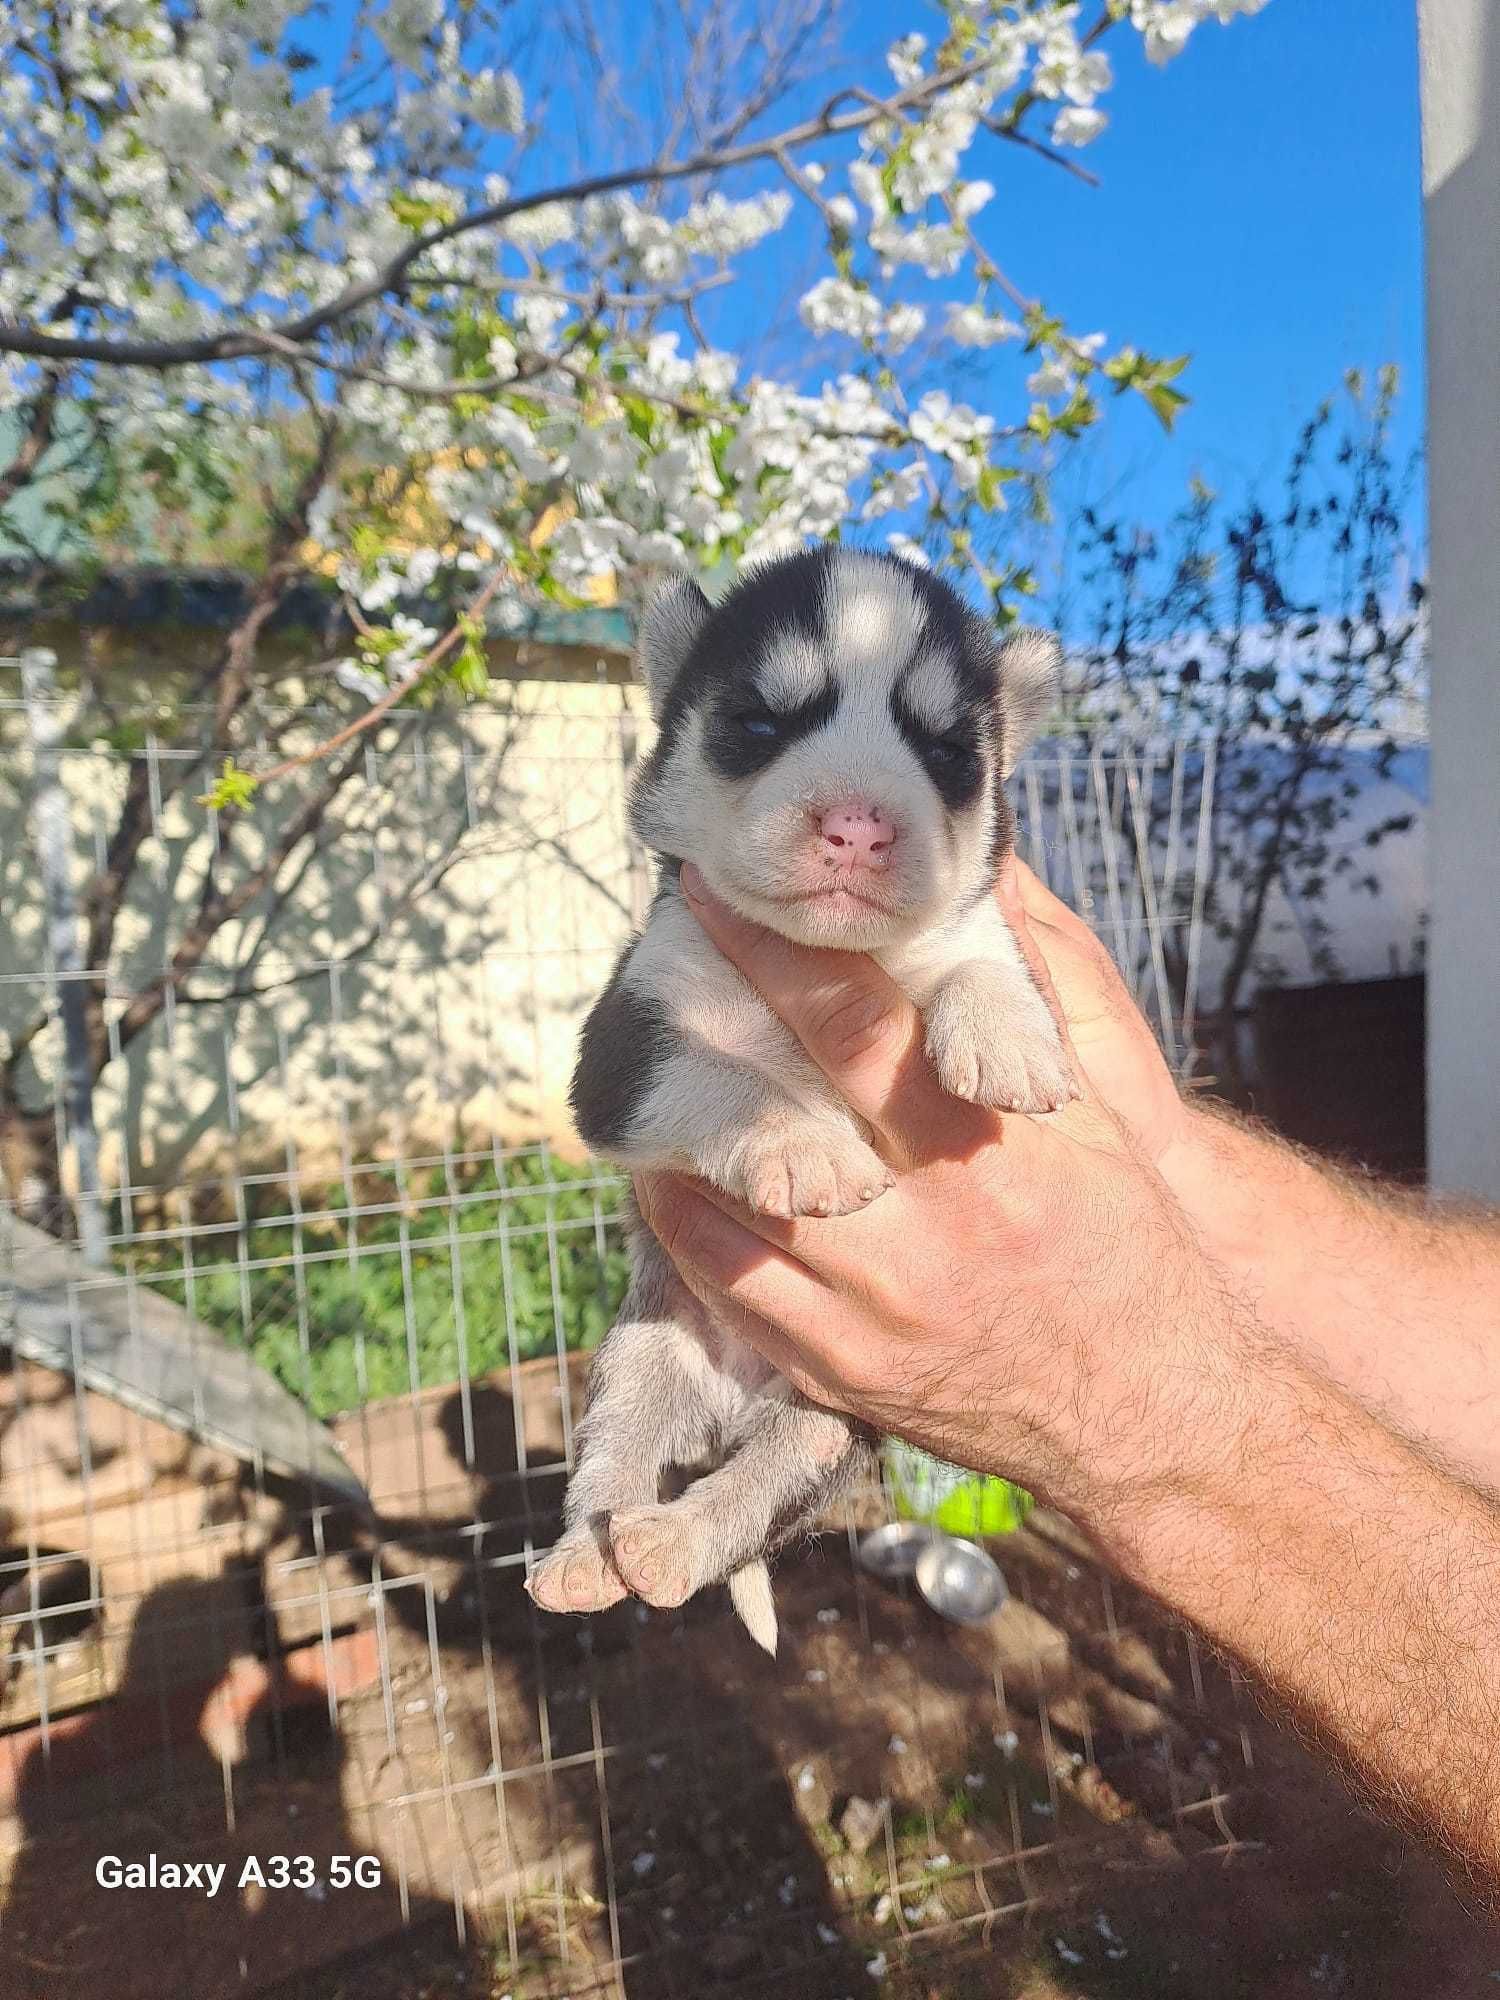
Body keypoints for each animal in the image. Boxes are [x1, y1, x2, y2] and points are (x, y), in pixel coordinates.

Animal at [528, 552, 1072, 1656]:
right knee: (612, 1462)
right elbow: (725, 1075)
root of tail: (732, 1401)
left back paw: (672, 1543)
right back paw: (585, 1558)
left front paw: (1008, 1039)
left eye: (948, 750)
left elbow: (982, 964)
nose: (858, 824)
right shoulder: (622, 1050)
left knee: (749, 1500)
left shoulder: (977, 932)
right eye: (760, 721)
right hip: (642, 1351)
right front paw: (800, 1144)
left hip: (833, 1427)